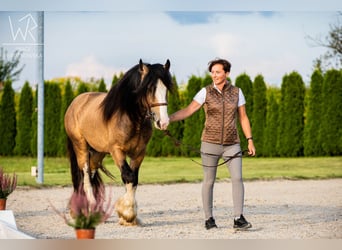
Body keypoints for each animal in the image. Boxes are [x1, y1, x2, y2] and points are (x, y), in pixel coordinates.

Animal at [63, 59, 174, 226]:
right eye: (149, 88)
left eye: (165, 88)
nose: (163, 122)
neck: (131, 118)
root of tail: (75, 103)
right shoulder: (117, 151)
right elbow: (128, 176)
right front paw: (127, 213)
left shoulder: (139, 153)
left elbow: (134, 179)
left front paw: (130, 217)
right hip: (80, 147)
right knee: (85, 176)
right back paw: (89, 210)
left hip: (98, 152)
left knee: (91, 173)